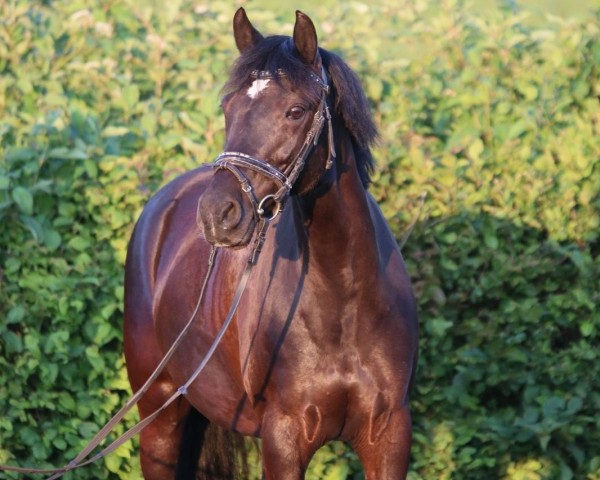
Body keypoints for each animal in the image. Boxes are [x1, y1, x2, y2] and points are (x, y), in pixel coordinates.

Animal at [123, 8, 418, 480]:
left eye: (295, 111)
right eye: (228, 108)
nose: (218, 214)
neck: (347, 300)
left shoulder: (389, 437)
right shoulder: (284, 439)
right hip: (159, 417)